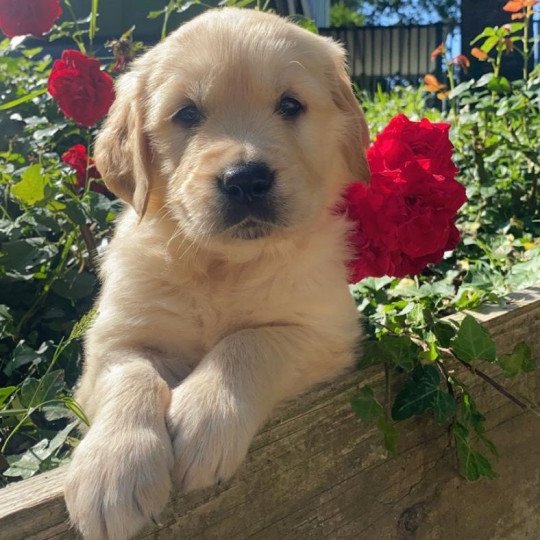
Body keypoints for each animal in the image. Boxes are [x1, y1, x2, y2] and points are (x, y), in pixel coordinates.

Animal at [62, 6, 368, 536]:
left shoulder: (326, 330)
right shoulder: (115, 339)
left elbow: (249, 342)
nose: (246, 179)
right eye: (187, 114)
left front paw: (205, 419)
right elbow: (130, 374)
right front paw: (112, 469)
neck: (222, 265)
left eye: (290, 105)